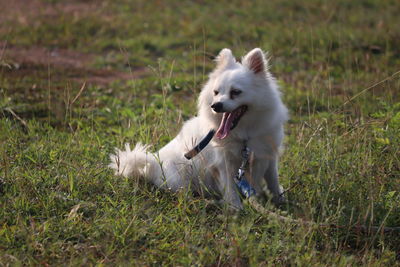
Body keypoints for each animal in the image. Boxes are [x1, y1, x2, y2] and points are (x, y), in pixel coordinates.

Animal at [110, 49, 288, 210]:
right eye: (216, 93)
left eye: (235, 92)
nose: (215, 105)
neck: (245, 135)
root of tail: (152, 162)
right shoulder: (224, 164)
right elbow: (231, 189)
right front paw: (236, 209)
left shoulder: (269, 155)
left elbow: (273, 180)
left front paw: (280, 199)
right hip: (181, 177)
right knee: (185, 195)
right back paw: (207, 202)